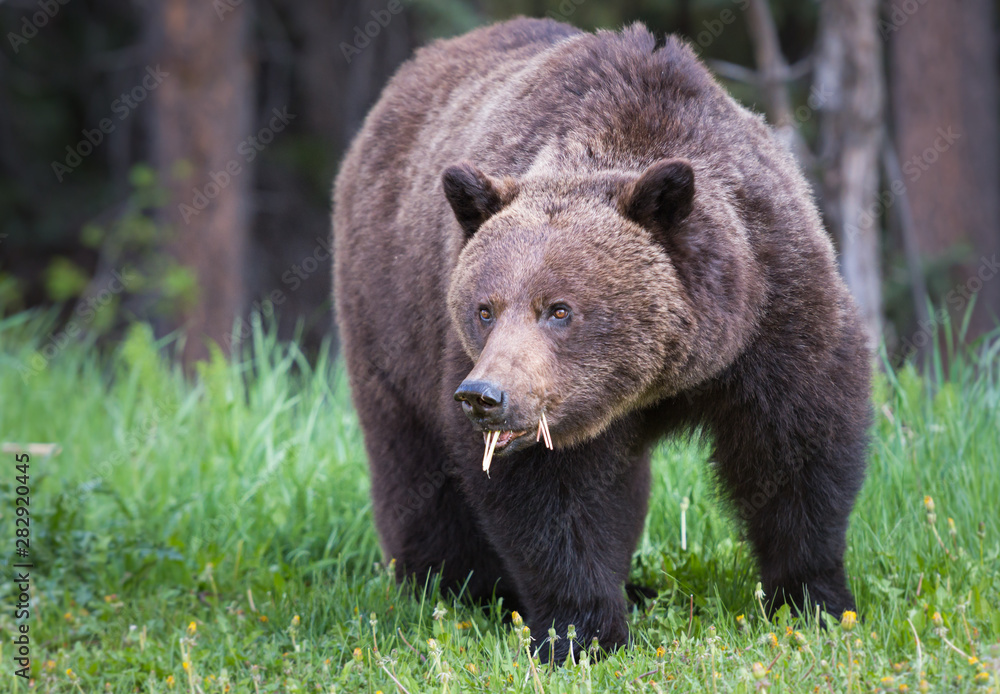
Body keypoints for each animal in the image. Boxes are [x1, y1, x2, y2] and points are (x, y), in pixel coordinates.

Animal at [332, 17, 872, 664]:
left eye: (559, 309)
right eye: (485, 309)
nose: (485, 396)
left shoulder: (773, 309)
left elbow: (796, 449)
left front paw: (813, 602)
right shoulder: (521, 394)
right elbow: (552, 501)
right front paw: (580, 632)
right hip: (389, 316)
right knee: (416, 470)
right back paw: (461, 586)